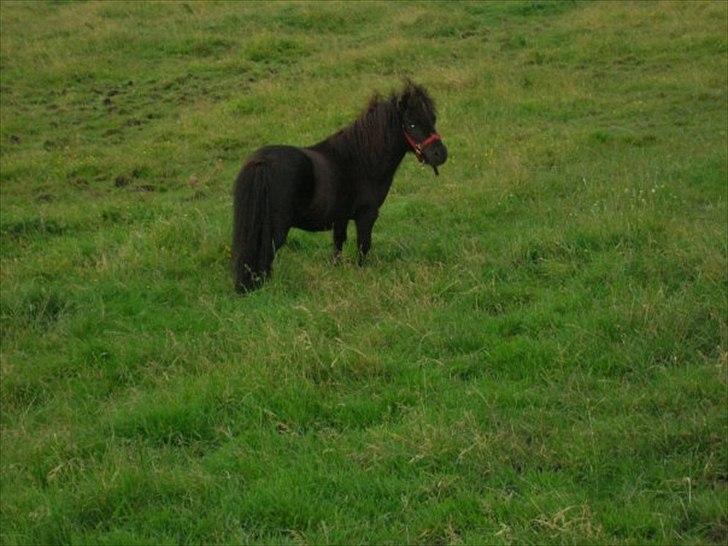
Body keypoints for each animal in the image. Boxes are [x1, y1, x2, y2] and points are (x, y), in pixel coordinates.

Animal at [230, 79, 446, 292]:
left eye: (433, 118)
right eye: (411, 124)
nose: (440, 154)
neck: (361, 160)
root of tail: (261, 164)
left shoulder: (340, 218)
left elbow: (338, 246)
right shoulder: (366, 215)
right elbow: (363, 247)